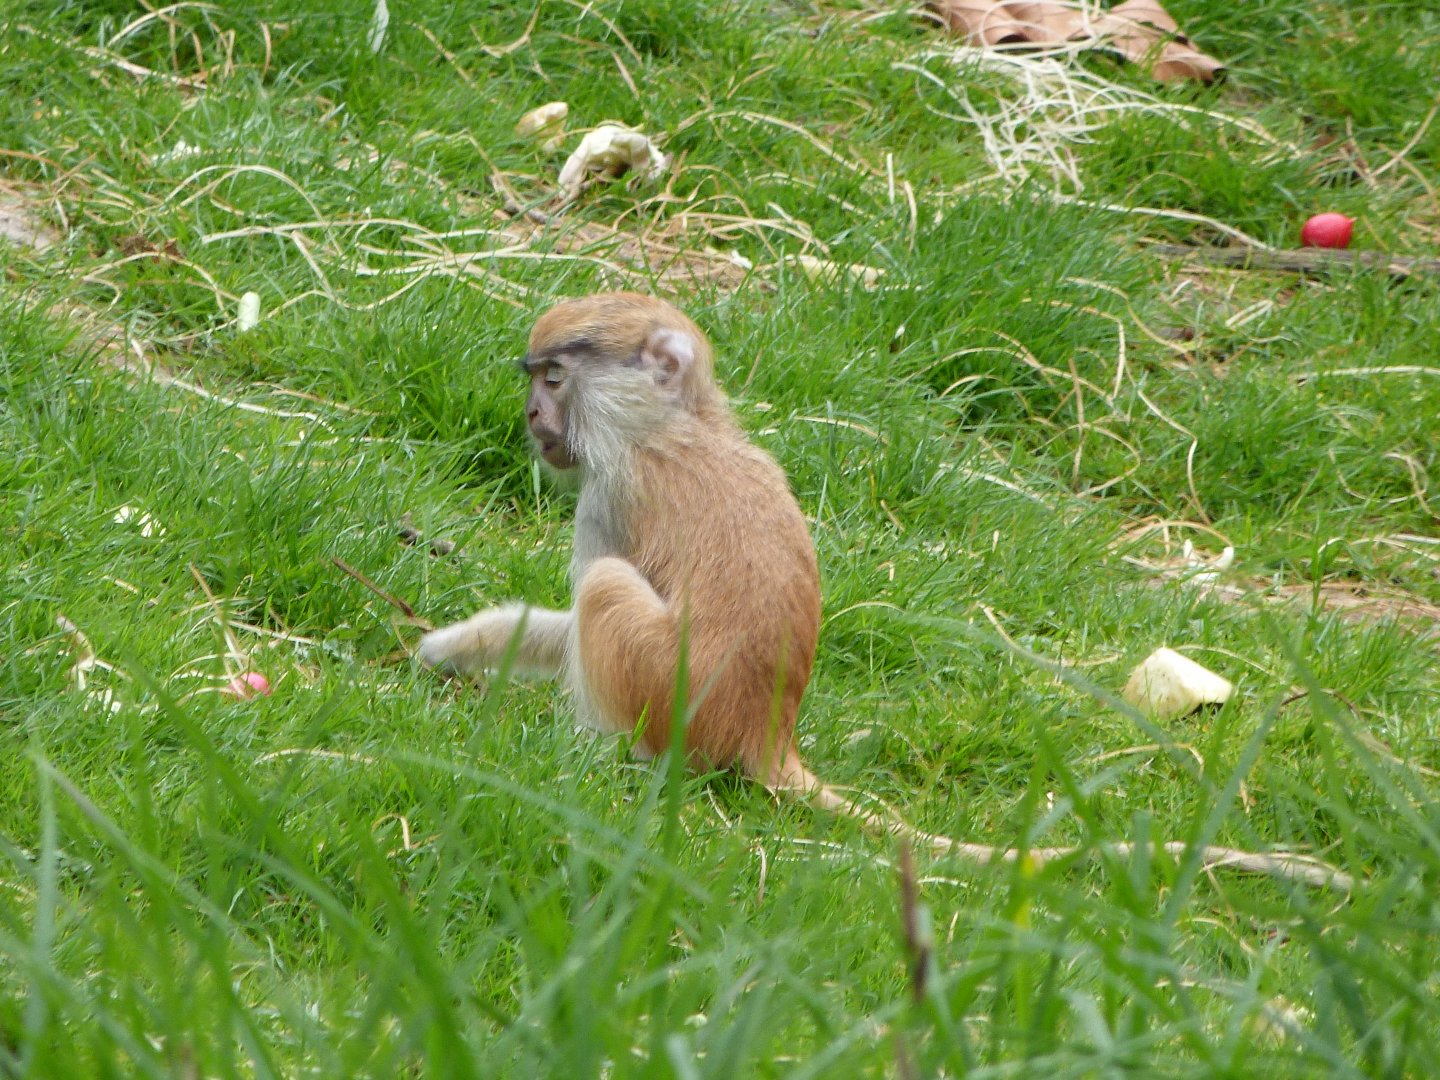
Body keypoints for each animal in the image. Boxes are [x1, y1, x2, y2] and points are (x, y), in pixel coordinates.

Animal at [417, 292, 1351, 892]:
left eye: (554, 378)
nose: (533, 421)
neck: (678, 423)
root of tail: (765, 735)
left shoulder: (612, 494)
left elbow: (582, 596)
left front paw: (457, 652)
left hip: (666, 692)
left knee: (609, 594)